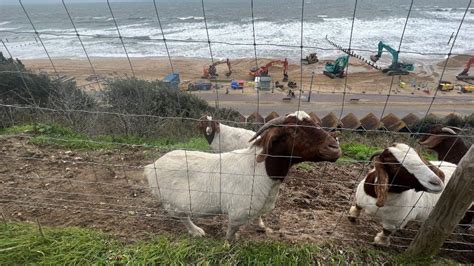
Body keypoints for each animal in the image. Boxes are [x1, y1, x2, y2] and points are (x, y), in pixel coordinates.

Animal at [144, 111, 340, 240]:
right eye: (294, 131)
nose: (334, 147)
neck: (259, 170)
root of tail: (150, 167)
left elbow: (259, 218)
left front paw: (261, 226)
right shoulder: (237, 213)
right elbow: (231, 233)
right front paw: (228, 245)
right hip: (172, 203)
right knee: (182, 216)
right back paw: (196, 231)